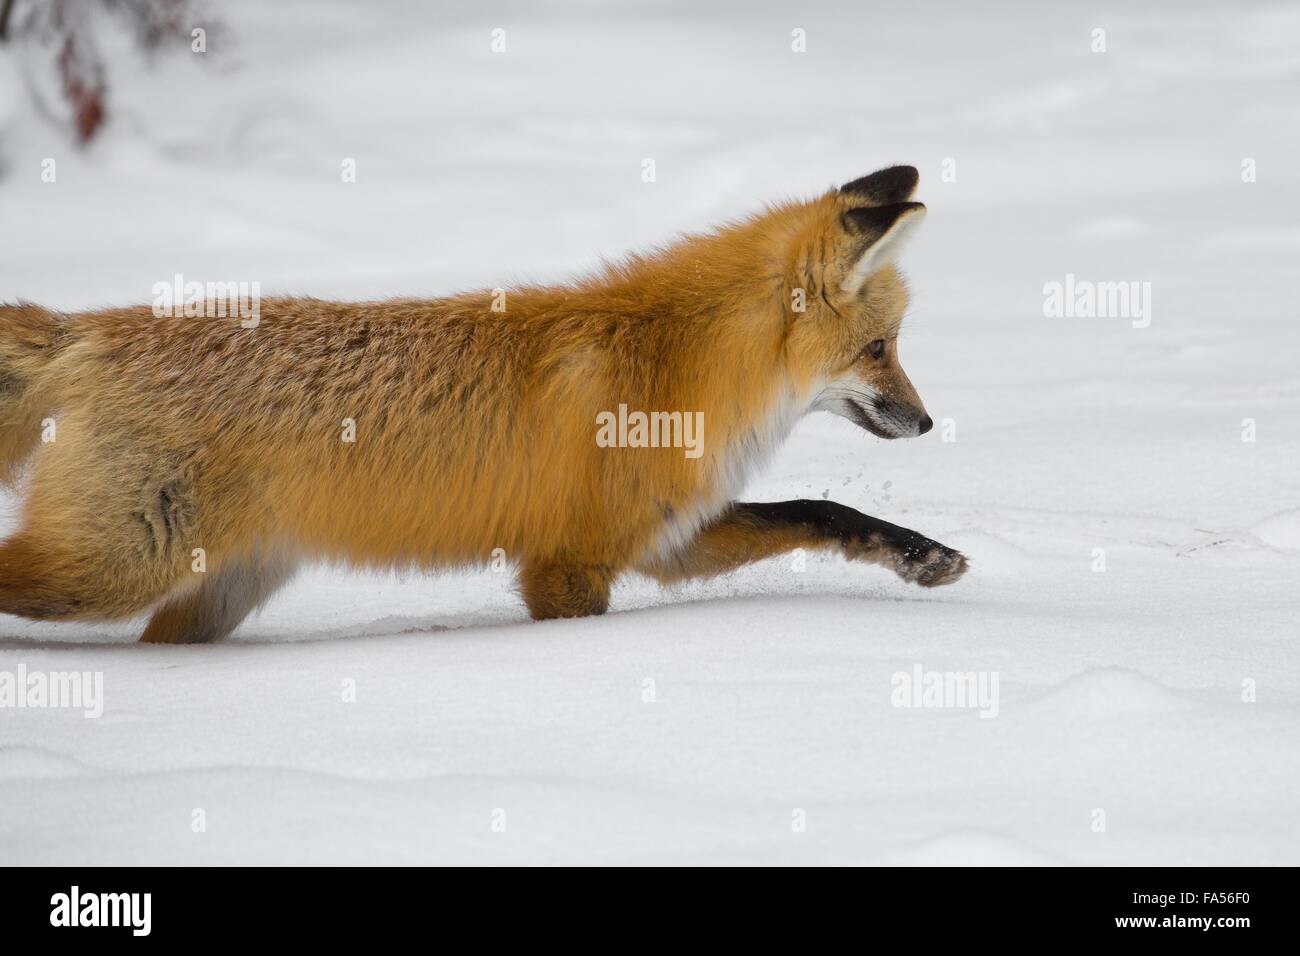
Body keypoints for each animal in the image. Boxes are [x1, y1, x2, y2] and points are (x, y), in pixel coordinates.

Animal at [0, 165, 966, 643]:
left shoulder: (663, 538)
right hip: (112, 568)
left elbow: (819, 510)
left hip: (216, 590)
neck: (679, 361)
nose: (927, 422)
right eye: (880, 349)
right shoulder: (566, 567)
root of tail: (89, 330)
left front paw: (921, 557)